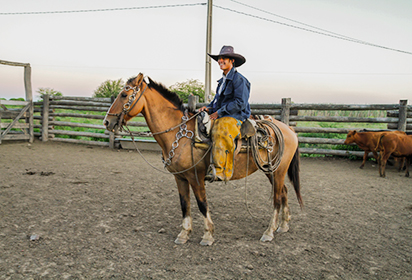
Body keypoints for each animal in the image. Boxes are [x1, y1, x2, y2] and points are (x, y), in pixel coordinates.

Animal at [103, 73, 302, 246]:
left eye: (124, 94)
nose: (107, 122)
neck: (180, 133)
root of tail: (289, 129)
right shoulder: (180, 177)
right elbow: (185, 204)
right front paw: (184, 234)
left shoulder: (196, 177)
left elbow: (201, 204)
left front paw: (207, 235)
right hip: (271, 169)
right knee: (283, 192)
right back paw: (283, 226)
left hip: (278, 170)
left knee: (277, 197)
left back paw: (269, 232)